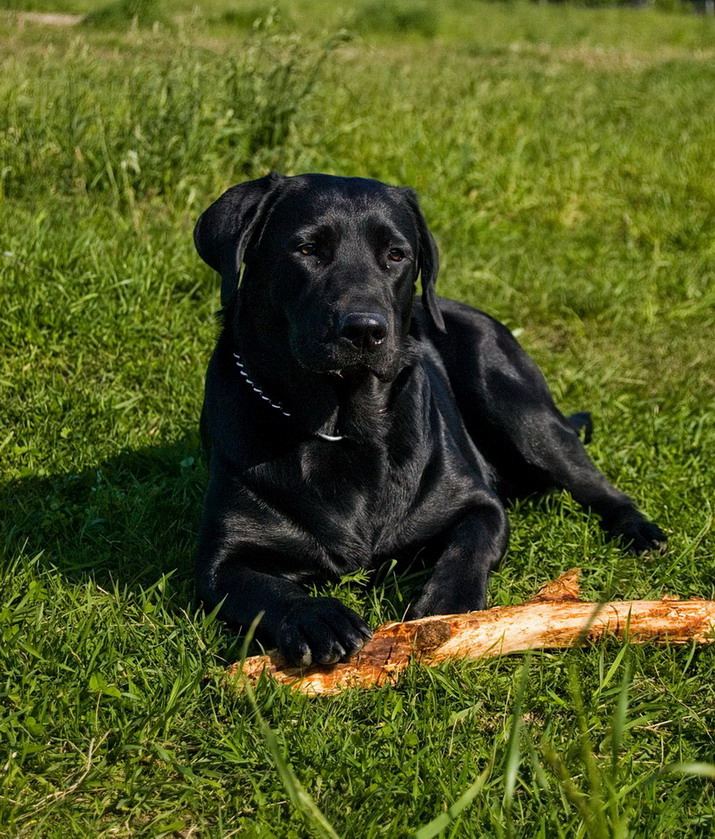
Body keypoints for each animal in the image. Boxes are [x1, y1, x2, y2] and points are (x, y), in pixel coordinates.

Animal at [194, 174, 664, 668]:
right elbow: (263, 587)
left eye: (396, 255)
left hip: (514, 403)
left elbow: (467, 547)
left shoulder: (479, 504)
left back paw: (640, 531)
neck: (344, 426)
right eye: (307, 249)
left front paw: (447, 606)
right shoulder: (220, 560)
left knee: (593, 481)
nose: (365, 329)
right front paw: (320, 617)